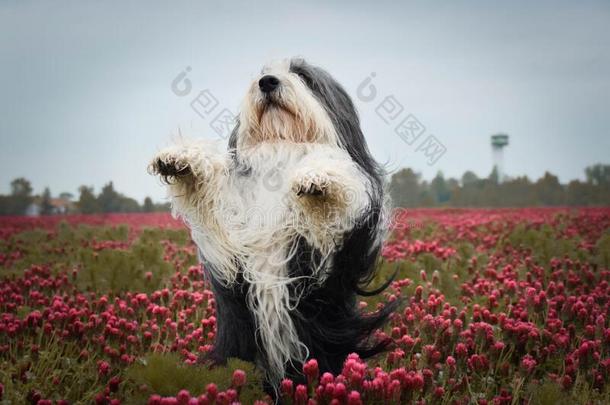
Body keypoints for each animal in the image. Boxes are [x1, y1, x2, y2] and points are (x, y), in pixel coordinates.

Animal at [147, 57, 394, 388]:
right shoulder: (231, 234)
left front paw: (317, 176)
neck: (282, 148)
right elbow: (215, 203)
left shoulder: (330, 253)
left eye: (302, 75)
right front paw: (182, 158)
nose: (267, 82)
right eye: (263, 72)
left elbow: (331, 181)